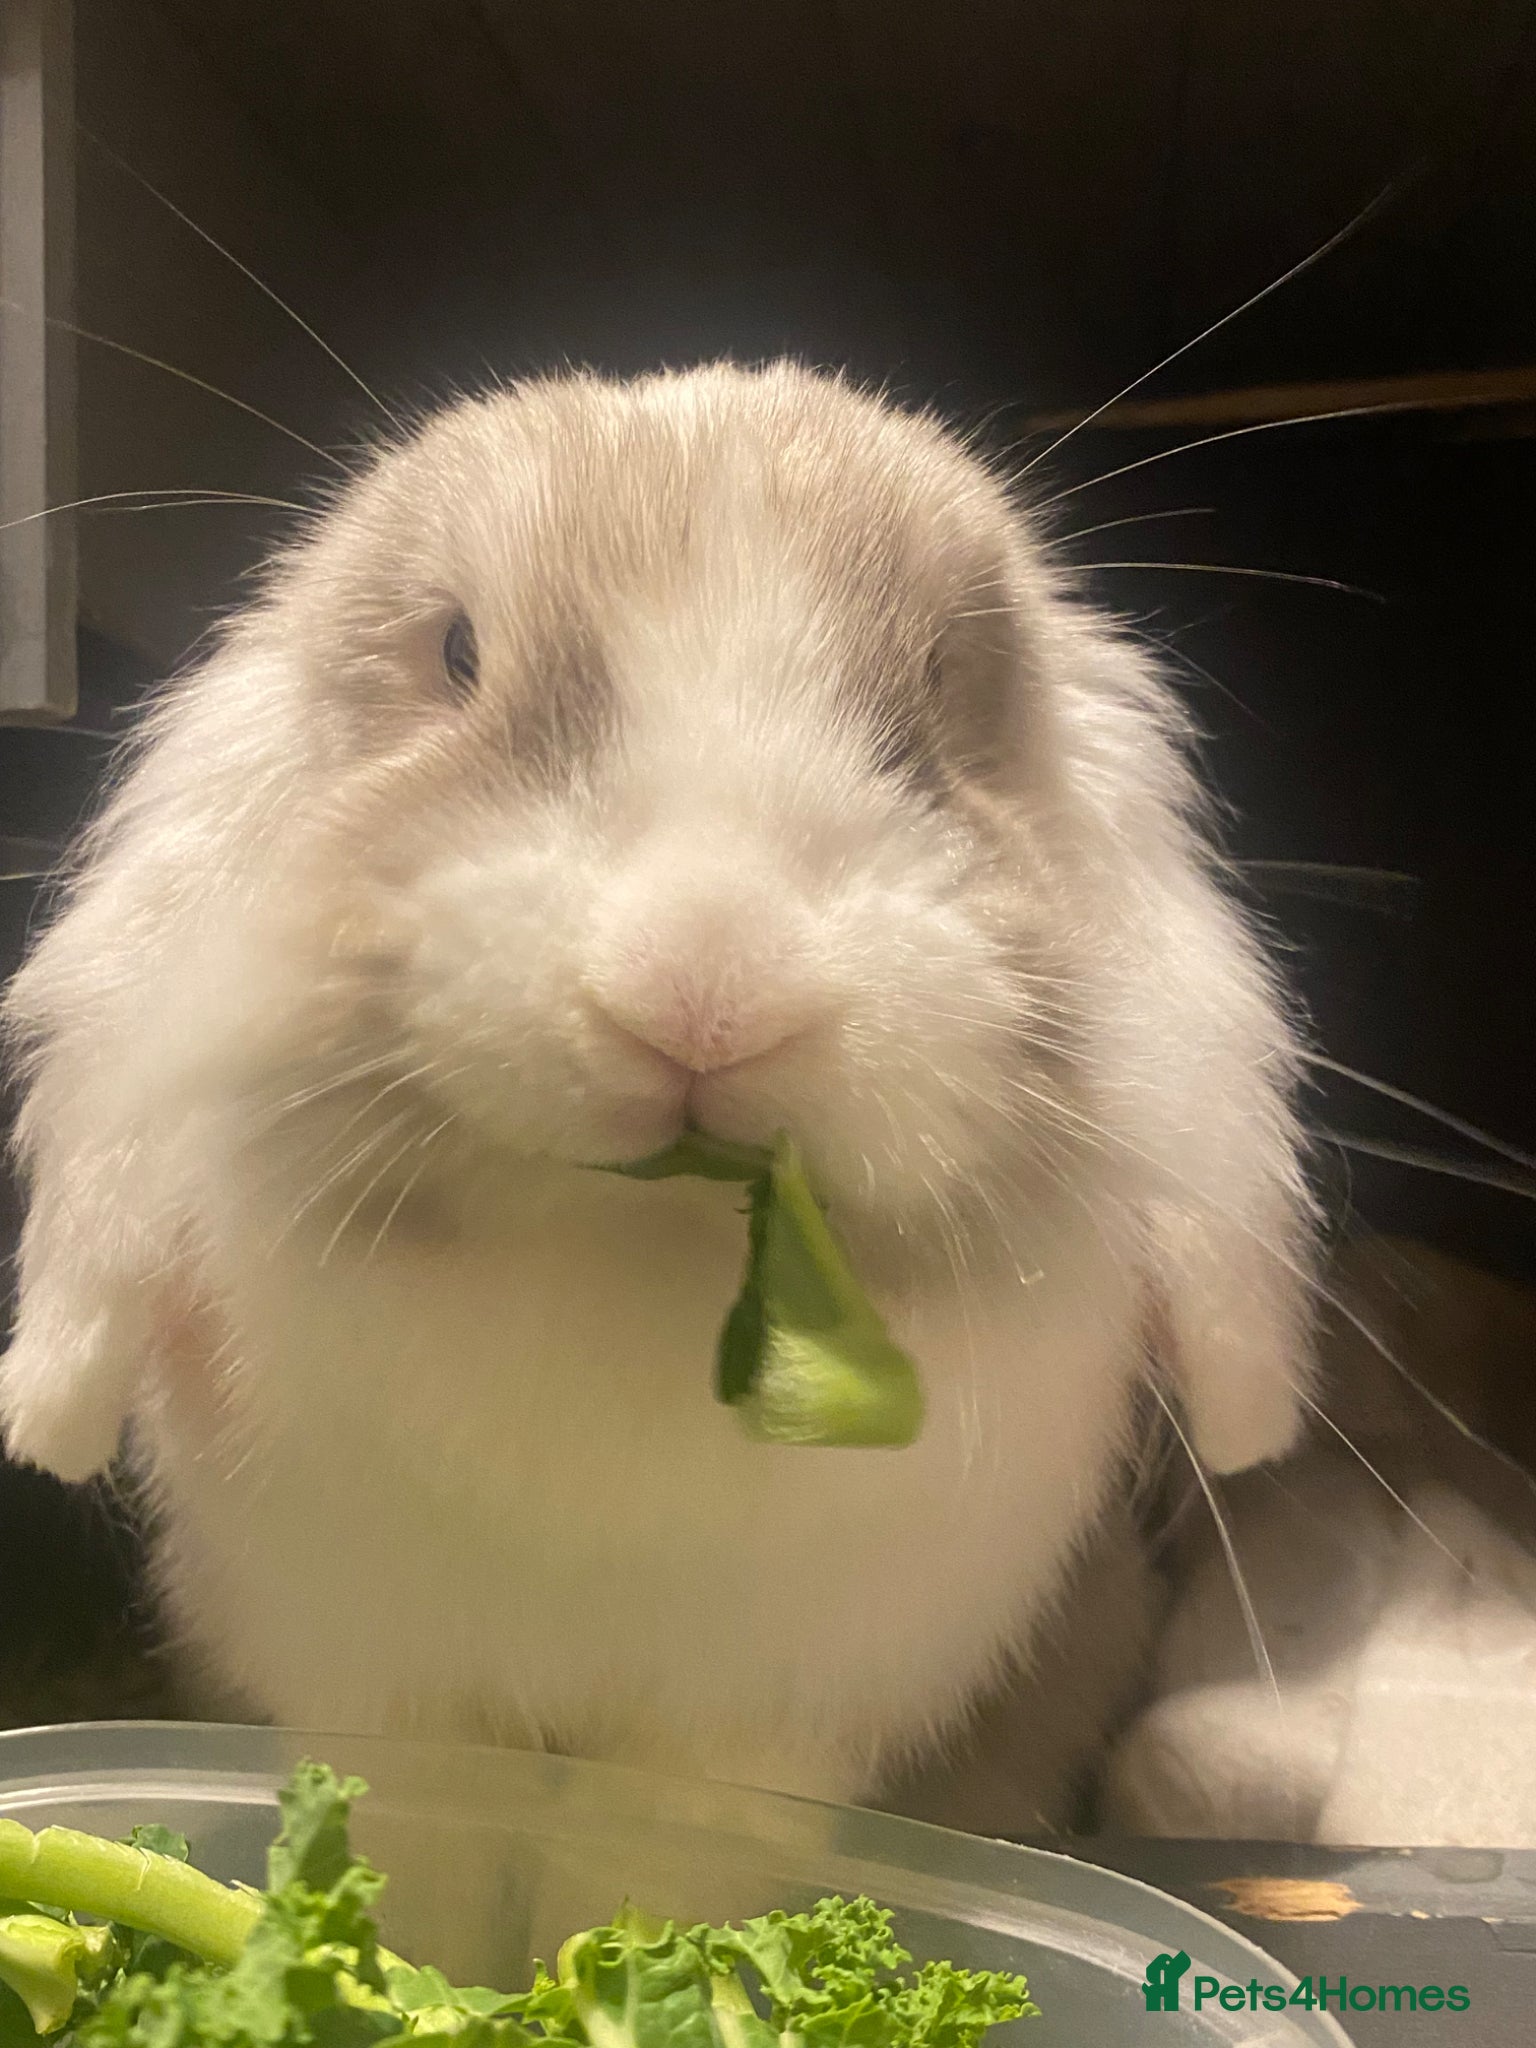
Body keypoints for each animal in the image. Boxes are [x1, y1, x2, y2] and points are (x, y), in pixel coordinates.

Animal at [0, 360, 1315, 1812]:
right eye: (456, 653)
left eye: (939, 682)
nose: (707, 987)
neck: (637, 1255)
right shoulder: (379, 1683)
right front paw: (44, 1420)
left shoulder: (766, 1724)